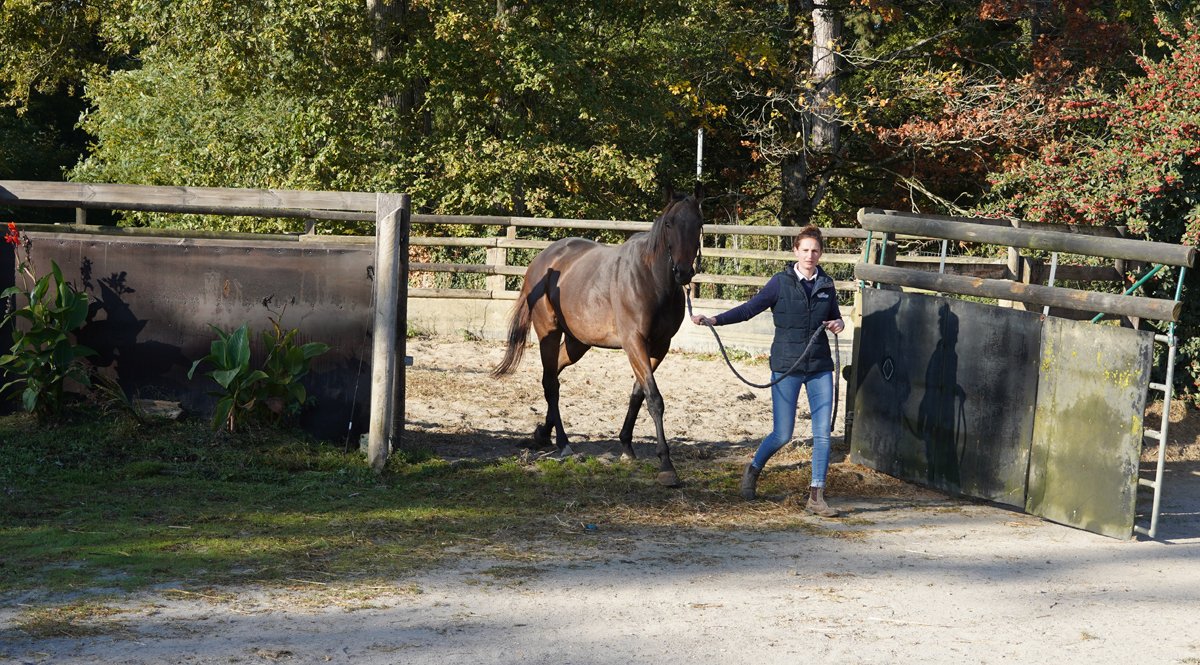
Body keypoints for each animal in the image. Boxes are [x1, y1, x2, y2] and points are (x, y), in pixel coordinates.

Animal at [491, 187, 704, 487]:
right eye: (669, 224)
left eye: (698, 224)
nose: (683, 271)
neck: (652, 279)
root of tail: (541, 262)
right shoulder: (634, 342)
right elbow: (654, 398)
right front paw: (666, 465)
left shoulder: (659, 347)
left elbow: (638, 394)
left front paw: (626, 445)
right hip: (549, 332)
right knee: (551, 382)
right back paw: (563, 443)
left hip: (577, 342)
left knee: (552, 375)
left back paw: (543, 433)